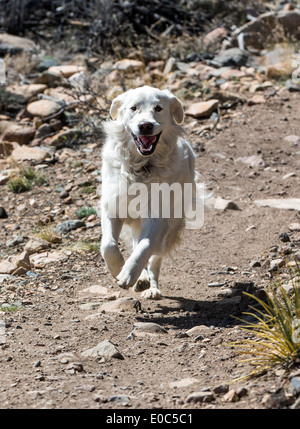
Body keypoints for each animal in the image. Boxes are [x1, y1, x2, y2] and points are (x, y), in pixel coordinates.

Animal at [99, 83, 205, 298]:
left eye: (158, 108)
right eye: (133, 108)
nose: (145, 126)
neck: (142, 166)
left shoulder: (157, 217)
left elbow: (145, 247)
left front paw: (128, 274)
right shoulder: (112, 207)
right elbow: (108, 246)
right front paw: (118, 269)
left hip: (170, 228)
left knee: (154, 257)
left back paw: (151, 287)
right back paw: (142, 279)